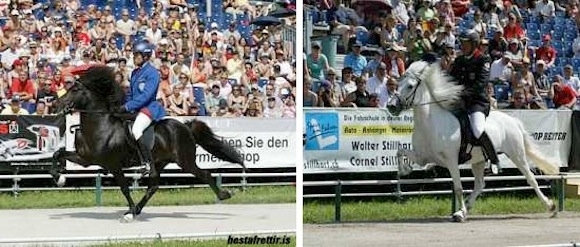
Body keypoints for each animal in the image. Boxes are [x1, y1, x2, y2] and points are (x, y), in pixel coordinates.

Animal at [50, 65, 247, 222]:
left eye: (75, 89)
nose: (55, 104)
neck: (100, 126)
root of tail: (185, 126)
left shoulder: (113, 164)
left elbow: (124, 188)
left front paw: (129, 213)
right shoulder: (85, 159)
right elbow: (57, 154)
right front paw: (59, 178)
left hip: (185, 161)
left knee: (204, 174)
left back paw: (224, 194)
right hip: (159, 162)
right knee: (153, 186)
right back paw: (137, 209)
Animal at [396, 59, 560, 222]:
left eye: (410, 86)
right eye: (398, 83)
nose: (392, 106)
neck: (430, 123)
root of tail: (513, 120)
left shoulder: (451, 161)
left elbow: (458, 188)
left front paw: (460, 213)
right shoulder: (422, 157)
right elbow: (400, 151)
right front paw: (405, 170)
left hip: (517, 154)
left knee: (531, 178)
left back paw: (551, 207)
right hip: (479, 160)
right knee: (480, 184)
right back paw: (465, 208)